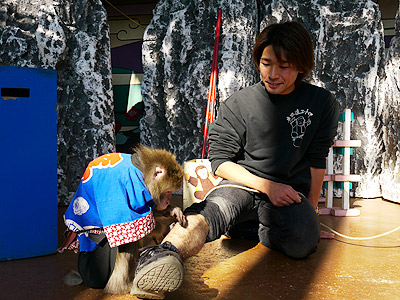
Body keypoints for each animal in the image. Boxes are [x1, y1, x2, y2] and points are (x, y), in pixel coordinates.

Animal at [61, 145, 186, 296]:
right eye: (168, 192)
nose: (167, 201)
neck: (141, 171)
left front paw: (172, 210)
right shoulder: (125, 189)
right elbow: (137, 227)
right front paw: (164, 229)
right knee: (126, 241)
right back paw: (122, 286)